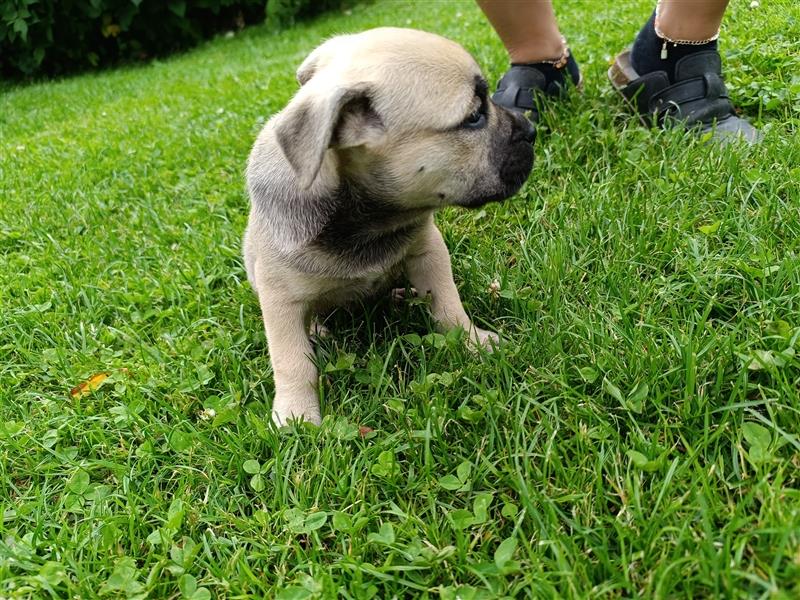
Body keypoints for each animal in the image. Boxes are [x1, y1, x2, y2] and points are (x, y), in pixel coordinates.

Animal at [241, 28, 536, 426]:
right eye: (474, 117)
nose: (531, 130)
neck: (368, 219)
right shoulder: (279, 300)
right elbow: (291, 361)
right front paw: (296, 413)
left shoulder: (429, 252)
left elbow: (449, 305)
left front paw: (473, 341)